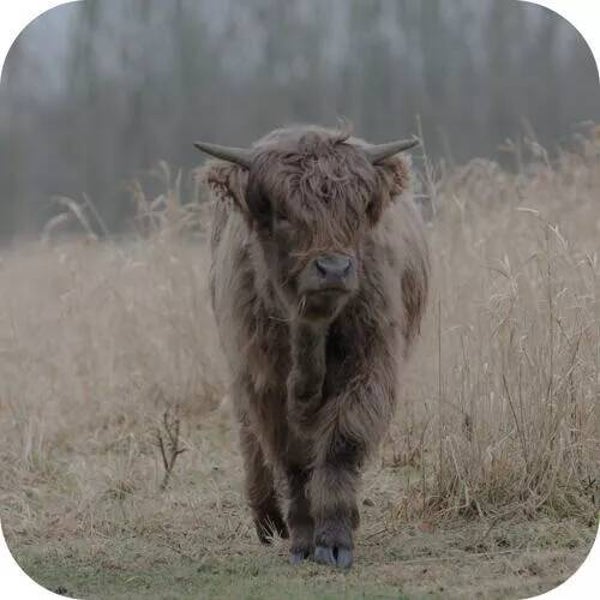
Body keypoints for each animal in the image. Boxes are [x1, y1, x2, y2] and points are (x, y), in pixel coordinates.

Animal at [194, 125, 429, 569]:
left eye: (357, 210)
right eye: (284, 214)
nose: (333, 269)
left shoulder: (370, 367)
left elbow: (342, 444)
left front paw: (335, 539)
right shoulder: (262, 381)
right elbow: (292, 460)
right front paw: (303, 540)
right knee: (249, 436)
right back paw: (267, 518)